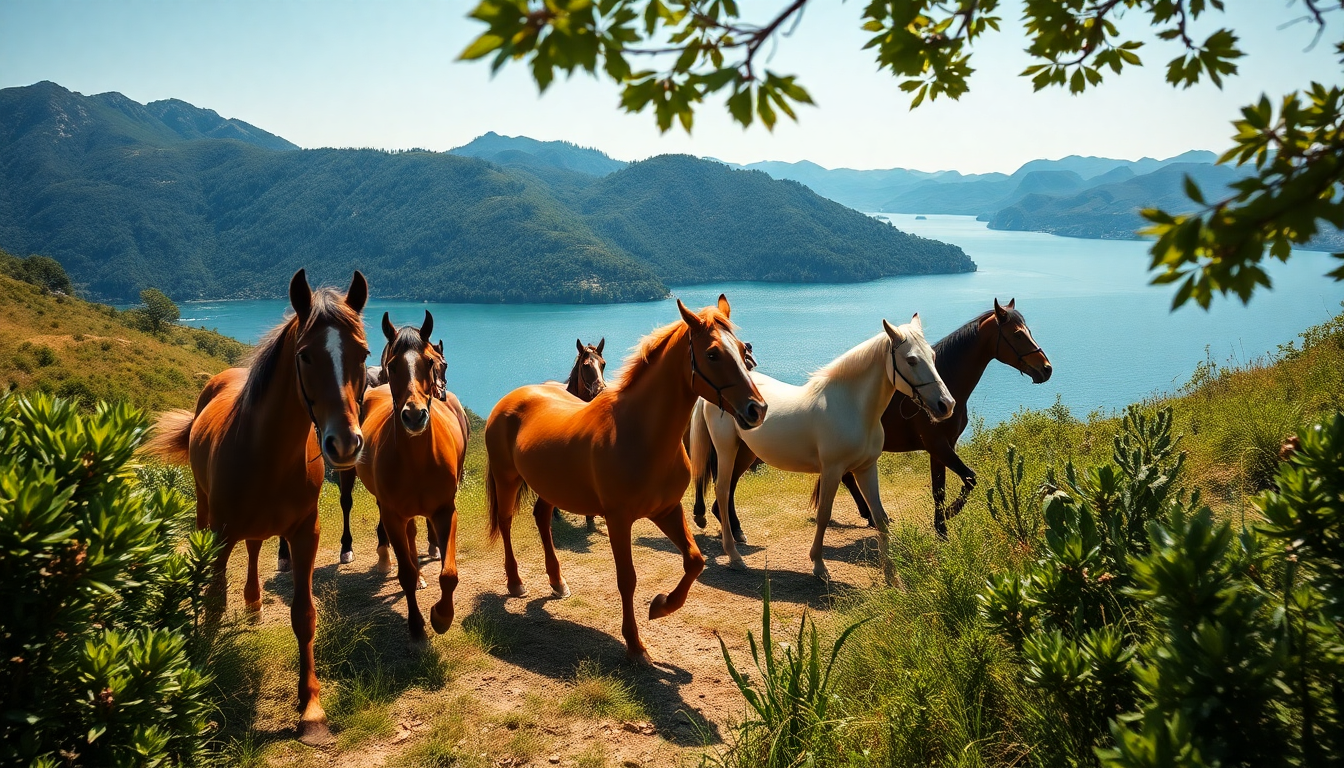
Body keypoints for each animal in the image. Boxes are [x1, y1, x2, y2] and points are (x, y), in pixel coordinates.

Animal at [143, 269, 369, 745]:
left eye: (363, 353)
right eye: (305, 355)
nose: (344, 444)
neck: (266, 450)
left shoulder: (305, 534)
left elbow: (304, 615)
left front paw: (311, 710)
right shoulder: (221, 532)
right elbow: (213, 603)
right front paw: (202, 683)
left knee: (253, 549)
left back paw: (253, 603)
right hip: (206, 515)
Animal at [355, 311, 469, 642]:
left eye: (429, 362)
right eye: (392, 364)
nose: (414, 415)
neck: (418, 460)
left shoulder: (445, 512)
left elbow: (449, 573)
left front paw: (441, 616)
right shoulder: (392, 515)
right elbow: (404, 572)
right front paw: (417, 625)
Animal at [484, 296, 766, 662]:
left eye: (744, 351)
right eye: (713, 354)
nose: (757, 409)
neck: (639, 432)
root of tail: (512, 397)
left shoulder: (667, 510)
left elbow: (695, 560)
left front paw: (661, 606)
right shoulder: (618, 520)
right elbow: (627, 579)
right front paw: (635, 644)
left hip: (550, 486)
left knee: (542, 518)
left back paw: (557, 582)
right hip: (506, 478)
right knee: (505, 522)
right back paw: (515, 581)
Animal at [688, 314, 954, 582]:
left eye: (932, 356)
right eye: (911, 360)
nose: (946, 404)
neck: (850, 406)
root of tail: (715, 393)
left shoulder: (866, 468)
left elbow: (880, 517)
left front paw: (892, 577)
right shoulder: (832, 470)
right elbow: (824, 515)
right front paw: (818, 565)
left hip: (745, 453)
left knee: (727, 491)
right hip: (726, 450)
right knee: (722, 491)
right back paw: (734, 556)